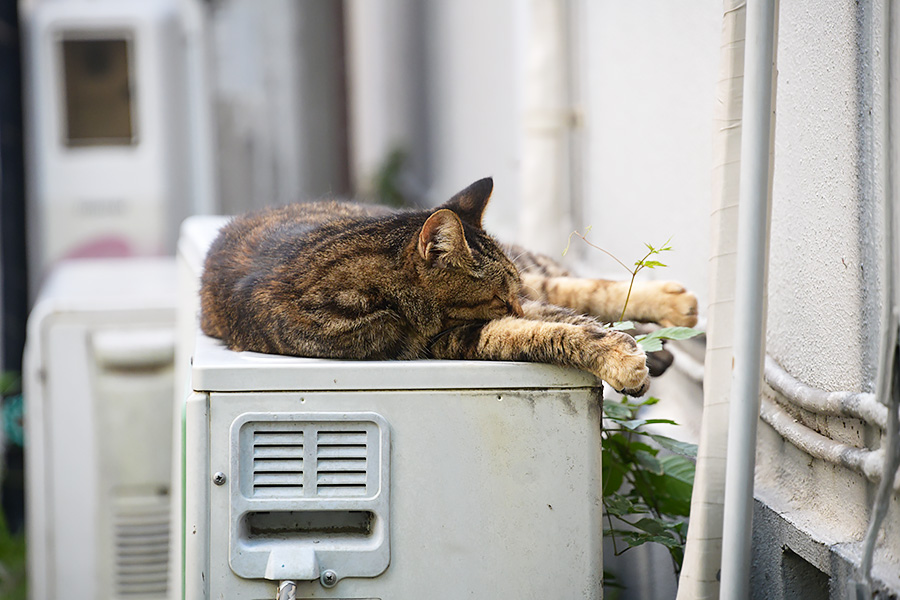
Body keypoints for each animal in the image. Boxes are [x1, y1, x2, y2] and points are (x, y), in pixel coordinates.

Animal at [200, 176, 700, 396]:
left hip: (537, 275)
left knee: (569, 285)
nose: (518, 303)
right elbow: (552, 330)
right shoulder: (449, 339)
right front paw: (624, 359)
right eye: (496, 295)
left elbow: (573, 314)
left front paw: (630, 348)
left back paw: (674, 308)